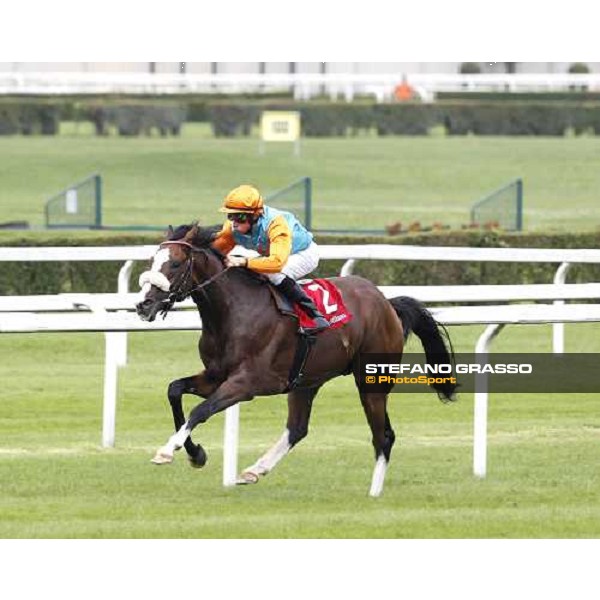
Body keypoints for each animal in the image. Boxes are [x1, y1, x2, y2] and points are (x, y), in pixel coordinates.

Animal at [136, 223, 454, 494]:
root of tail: (386, 303)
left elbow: (200, 411)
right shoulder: (215, 376)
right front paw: (196, 453)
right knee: (298, 429)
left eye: (175, 263)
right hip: (307, 380)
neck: (233, 311)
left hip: (371, 379)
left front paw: (168, 450)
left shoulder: (247, 383)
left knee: (383, 436)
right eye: (152, 260)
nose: (144, 304)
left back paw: (373, 493)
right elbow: (175, 390)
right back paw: (254, 470)